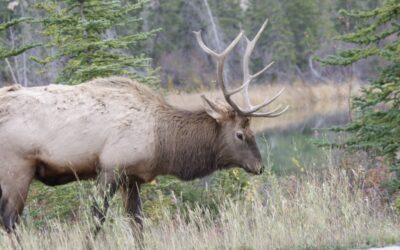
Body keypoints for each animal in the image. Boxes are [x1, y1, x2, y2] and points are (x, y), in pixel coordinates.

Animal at [0, 19, 288, 234]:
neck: (163, 142)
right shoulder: (111, 167)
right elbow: (96, 220)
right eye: (240, 134)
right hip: (17, 168)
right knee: (10, 221)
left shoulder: (133, 178)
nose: (259, 166)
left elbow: (137, 224)